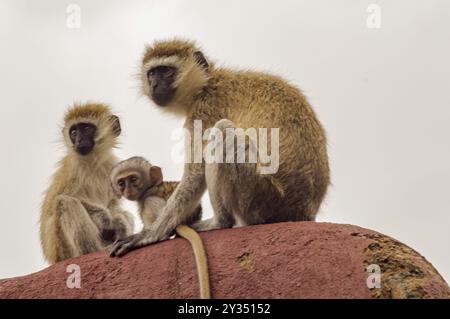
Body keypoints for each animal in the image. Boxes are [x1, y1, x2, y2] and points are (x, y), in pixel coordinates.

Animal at [40, 103, 134, 264]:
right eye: (74, 132)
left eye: (87, 129)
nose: (79, 141)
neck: (93, 161)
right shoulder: (73, 170)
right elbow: (62, 199)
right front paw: (104, 217)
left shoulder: (112, 166)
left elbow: (113, 204)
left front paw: (119, 222)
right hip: (63, 249)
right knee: (64, 202)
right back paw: (93, 251)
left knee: (126, 214)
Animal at [110, 38, 330, 258]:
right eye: (152, 73)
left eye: (166, 71)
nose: (155, 84)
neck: (207, 84)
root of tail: (303, 212)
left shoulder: (204, 111)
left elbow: (196, 172)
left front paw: (151, 234)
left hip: (264, 200)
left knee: (224, 132)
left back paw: (220, 222)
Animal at [110, 158, 210, 300]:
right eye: (121, 183)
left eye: (133, 179)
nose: (128, 190)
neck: (150, 187)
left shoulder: (145, 197)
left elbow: (148, 202)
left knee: (150, 202)